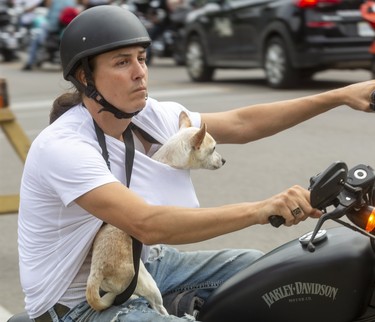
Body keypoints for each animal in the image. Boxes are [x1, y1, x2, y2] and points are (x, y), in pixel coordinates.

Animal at [86, 110, 225, 314]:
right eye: (214, 149)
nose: (224, 160)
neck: (168, 162)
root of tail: (97, 272)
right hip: (147, 283)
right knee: (157, 305)